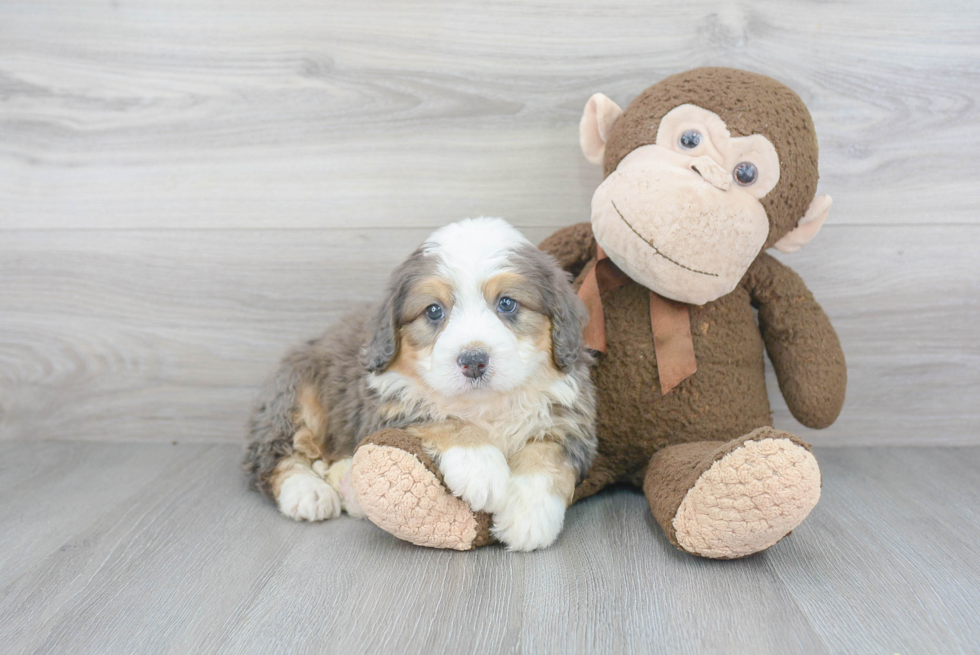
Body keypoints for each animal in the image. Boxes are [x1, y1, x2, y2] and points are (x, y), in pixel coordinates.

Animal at [245, 218, 596, 552]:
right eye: (434, 311)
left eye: (507, 303)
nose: (473, 361)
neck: (485, 405)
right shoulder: (389, 406)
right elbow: (444, 418)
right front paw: (480, 467)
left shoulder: (569, 420)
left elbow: (546, 457)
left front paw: (528, 516)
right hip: (295, 394)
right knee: (272, 456)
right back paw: (308, 492)